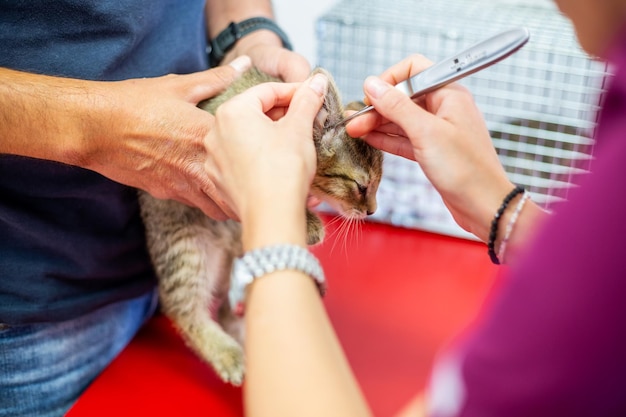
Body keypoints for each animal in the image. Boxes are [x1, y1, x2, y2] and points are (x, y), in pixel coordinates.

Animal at [138, 67, 380, 384]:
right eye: (362, 187)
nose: (372, 211)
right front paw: (309, 222)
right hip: (184, 247)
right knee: (182, 308)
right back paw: (226, 352)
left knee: (228, 310)